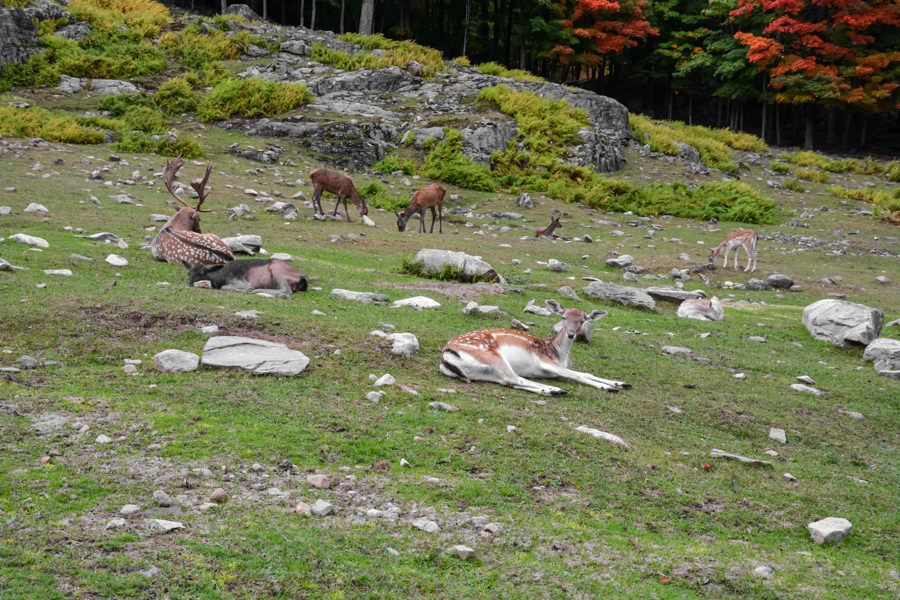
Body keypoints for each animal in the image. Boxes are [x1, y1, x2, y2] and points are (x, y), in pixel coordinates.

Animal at [440, 298, 628, 394]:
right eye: (564, 317)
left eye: (582, 320)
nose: (571, 334)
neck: (558, 353)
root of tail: (445, 358)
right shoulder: (545, 362)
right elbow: (577, 375)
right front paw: (608, 387)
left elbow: (584, 372)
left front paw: (621, 383)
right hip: (492, 357)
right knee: (515, 378)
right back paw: (556, 389)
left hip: (485, 373)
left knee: (509, 381)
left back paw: (551, 390)